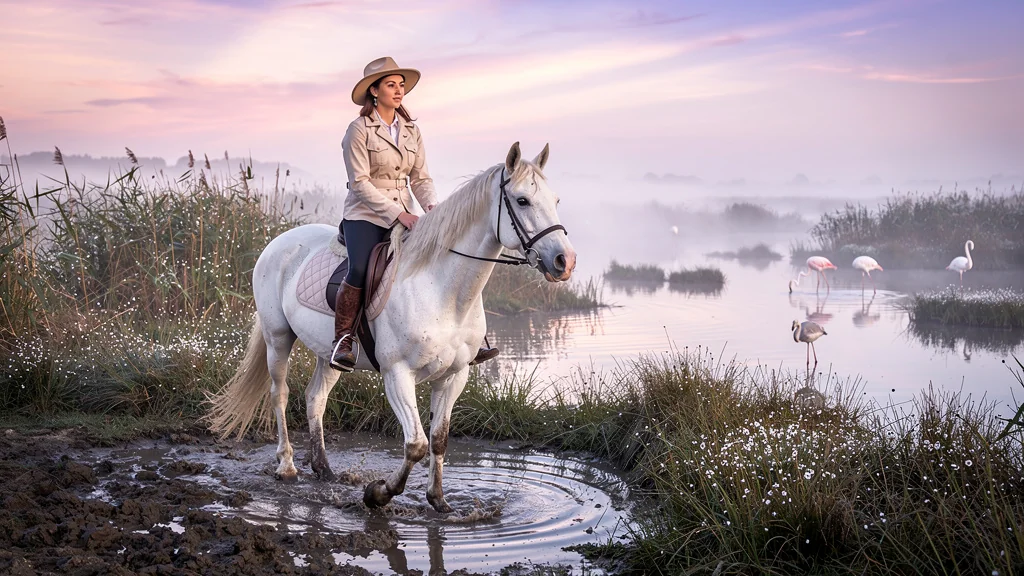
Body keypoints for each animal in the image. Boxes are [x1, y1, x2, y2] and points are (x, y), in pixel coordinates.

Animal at [207, 142, 576, 513]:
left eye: (556, 200)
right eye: (522, 200)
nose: (565, 261)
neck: (442, 290)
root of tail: (278, 242)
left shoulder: (453, 376)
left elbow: (438, 441)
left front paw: (439, 501)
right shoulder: (398, 374)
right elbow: (416, 444)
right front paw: (377, 493)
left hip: (330, 353)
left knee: (316, 398)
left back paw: (324, 469)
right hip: (278, 338)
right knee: (279, 394)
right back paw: (287, 466)